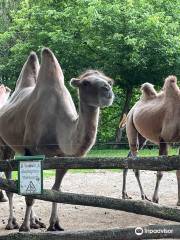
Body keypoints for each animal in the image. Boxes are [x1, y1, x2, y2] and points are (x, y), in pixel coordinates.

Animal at [0, 48, 114, 231]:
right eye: (86, 83)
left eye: (109, 81)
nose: (107, 90)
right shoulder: (33, 151)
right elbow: (31, 193)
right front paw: (24, 227)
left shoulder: (64, 156)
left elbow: (56, 190)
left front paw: (55, 224)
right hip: (5, 146)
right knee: (10, 183)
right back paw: (13, 222)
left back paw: (35, 221)